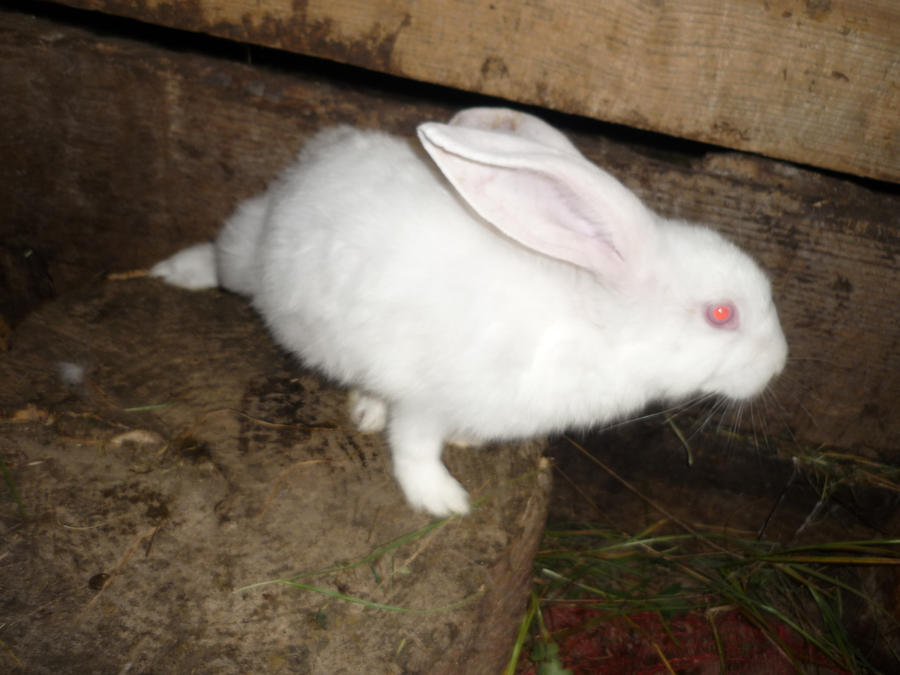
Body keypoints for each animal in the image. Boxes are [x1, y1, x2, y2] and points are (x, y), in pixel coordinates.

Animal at [151, 107, 788, 517]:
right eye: (722, 314)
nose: (778, 364)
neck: (594, 321)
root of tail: (319, 155)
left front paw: (463, 445)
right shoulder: (428, 398)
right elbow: (413, 447)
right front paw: (442, 501)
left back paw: (365, 405)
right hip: (249, 263)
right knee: (223, 252)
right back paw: (173, 271)